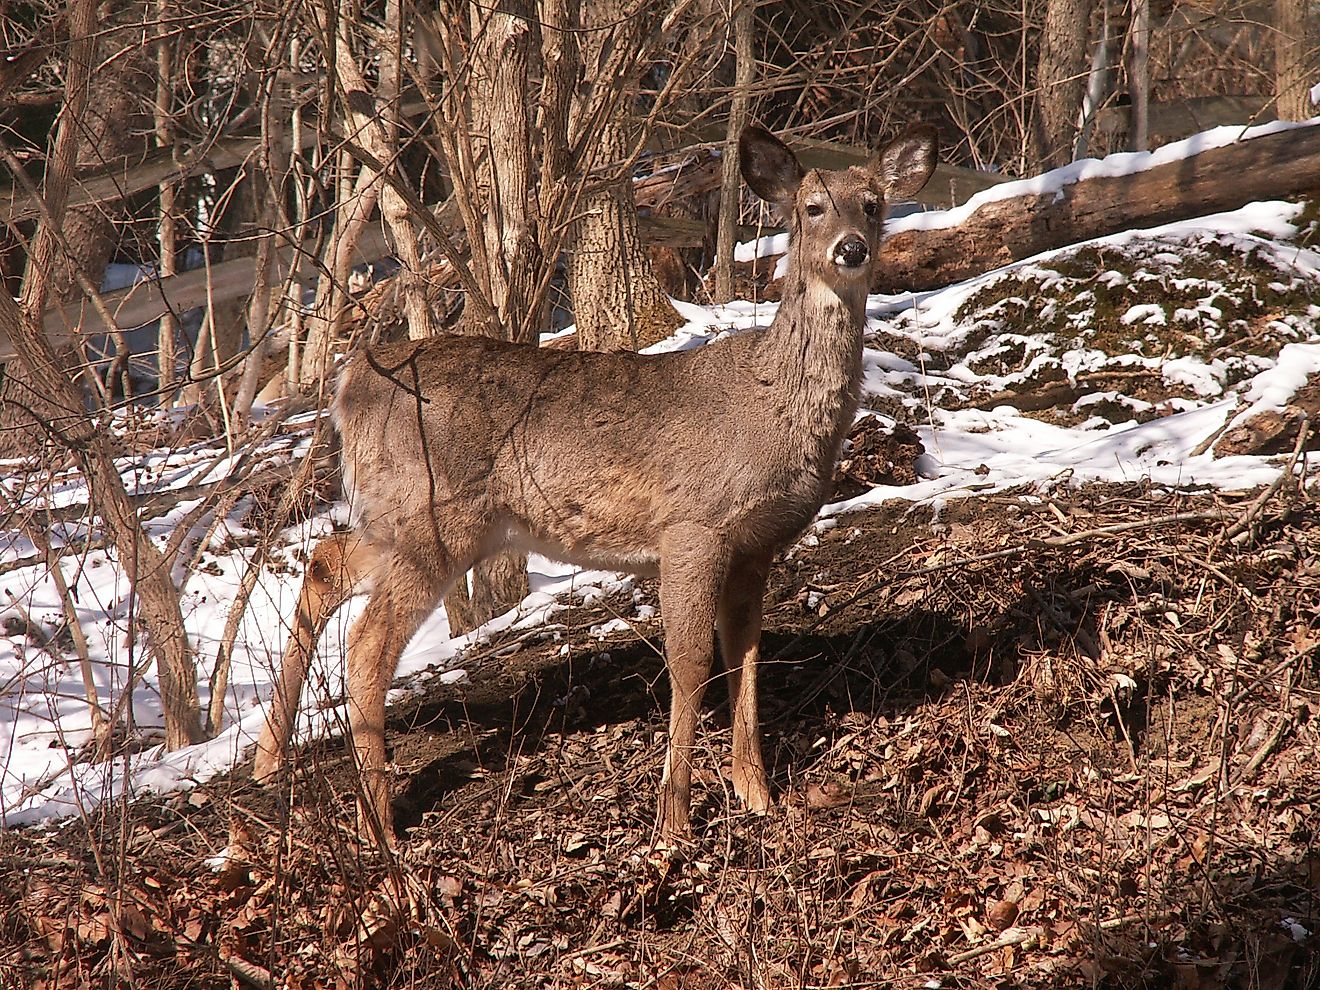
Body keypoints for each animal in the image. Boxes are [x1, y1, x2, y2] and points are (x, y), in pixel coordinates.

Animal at [252, 122, 939, 844]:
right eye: (812, 208)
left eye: (872, 204)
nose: (852, 248)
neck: (769, 403)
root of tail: (350, 381)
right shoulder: (692, 526)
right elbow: (691, 660)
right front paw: (673, 821)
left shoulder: (757, 545)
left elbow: (745, 654)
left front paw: (756, 793)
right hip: (436, 517)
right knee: (367, 646)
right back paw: (378, 825)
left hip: (406, 516)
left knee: (326, 562)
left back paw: (272, 759)